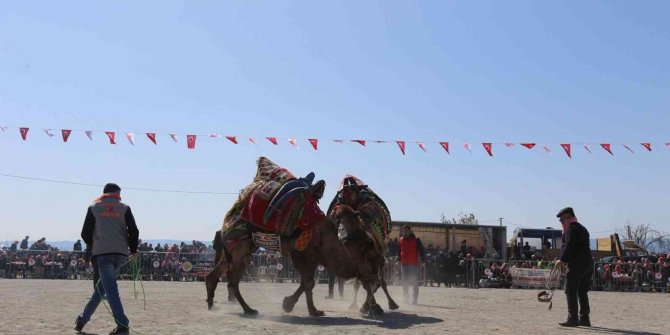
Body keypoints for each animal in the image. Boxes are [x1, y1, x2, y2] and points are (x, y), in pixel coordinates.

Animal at [207, 158, 392, 318]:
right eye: (368, 247)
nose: (381, 262)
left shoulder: (315, 258)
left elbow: (308, 282)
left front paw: (310, 309)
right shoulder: (300, 253)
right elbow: (308, 282)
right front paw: (293, 306)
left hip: (236, 249)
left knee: (217, 273)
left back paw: (212, 304)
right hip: (240, 247)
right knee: (232, 282)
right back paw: (248, 309)